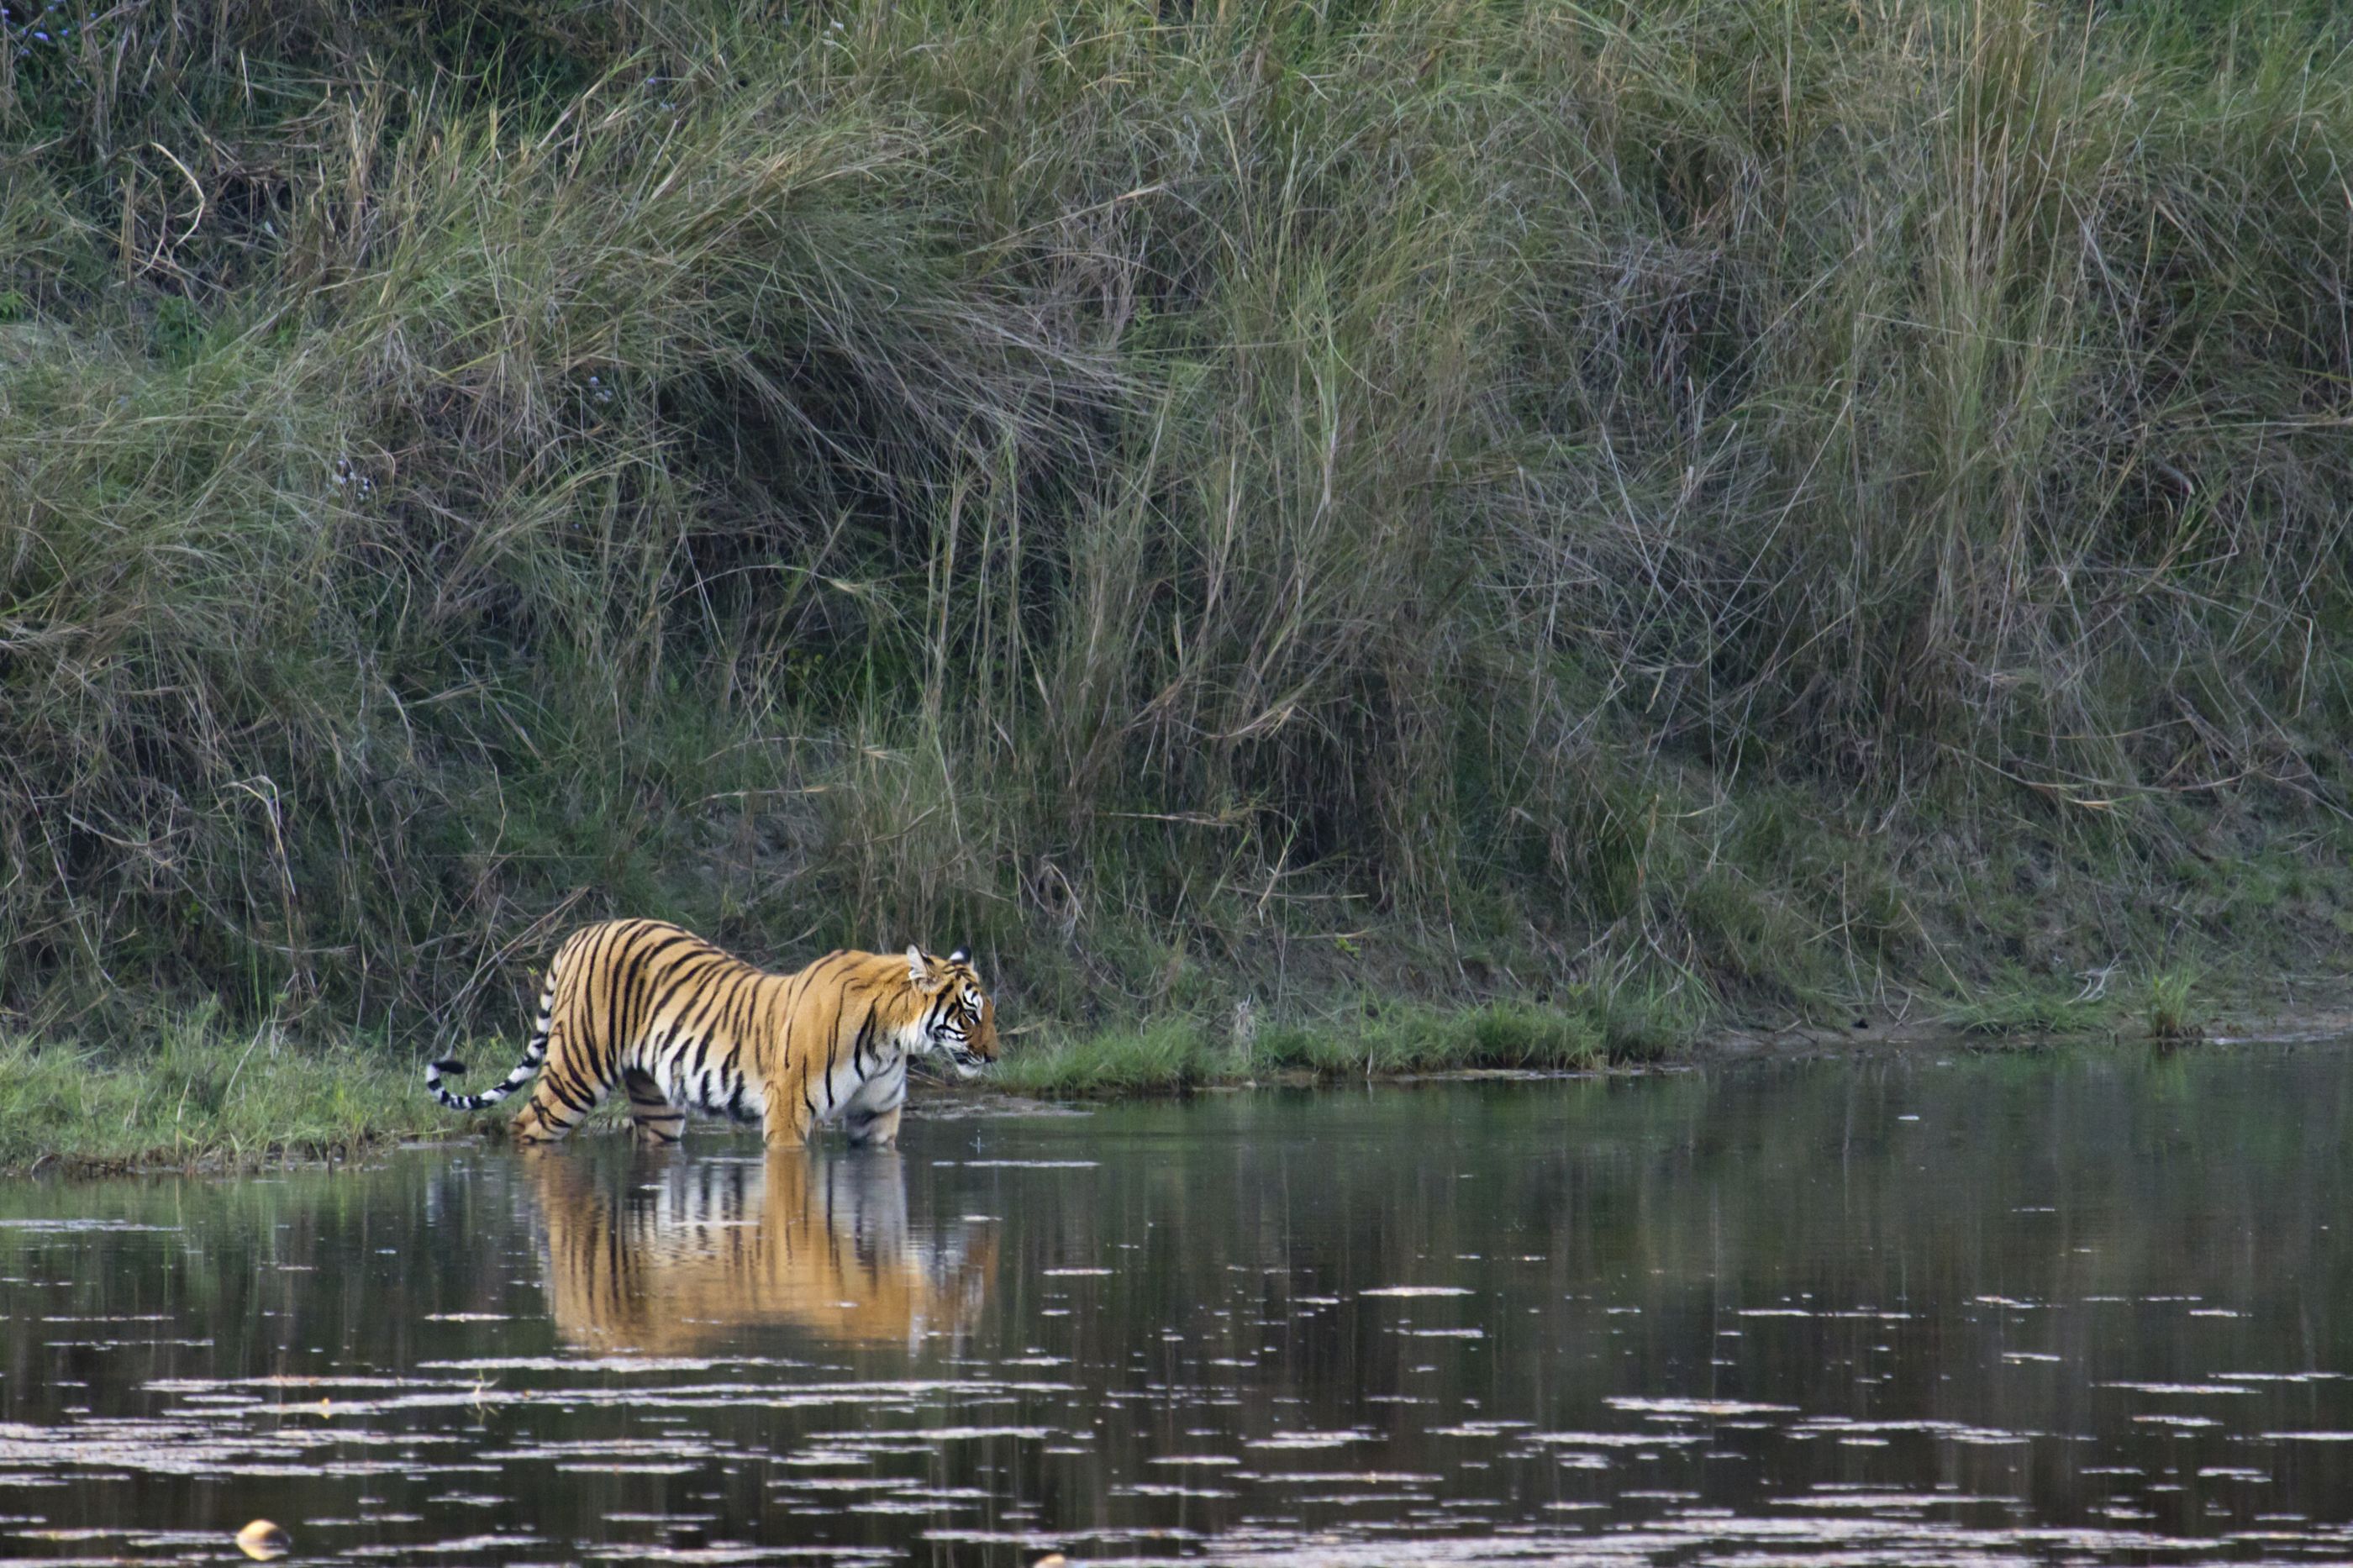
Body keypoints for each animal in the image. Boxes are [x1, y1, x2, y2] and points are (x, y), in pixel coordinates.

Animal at [424, 918, 992, 1149]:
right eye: (969, 1015)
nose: (992, 1056)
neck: (891, 1042)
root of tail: (582, 933)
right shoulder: (788, 1114)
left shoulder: (876, 1119)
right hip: (576, 1071)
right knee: (524, 1126)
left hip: (656, 1101)